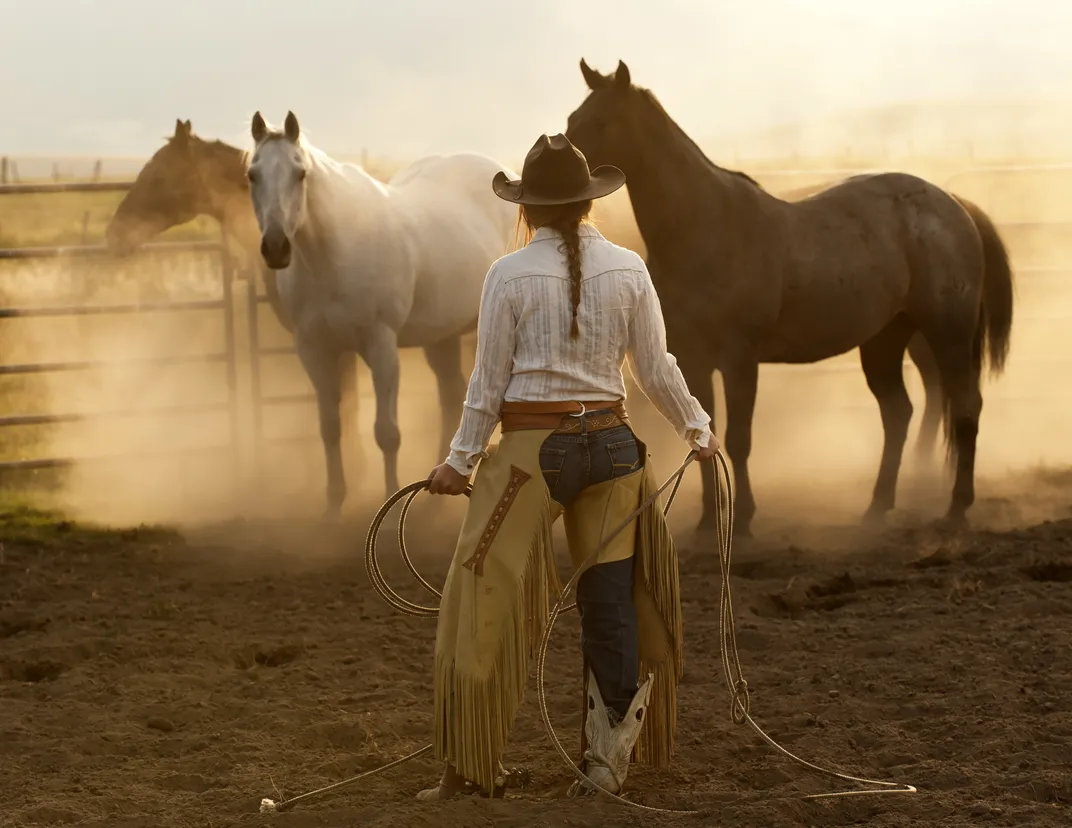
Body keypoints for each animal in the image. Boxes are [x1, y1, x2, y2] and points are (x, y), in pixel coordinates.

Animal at [248, 109, 520, 510]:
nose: (276, 247)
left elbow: (386, 433)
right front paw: (334, 500)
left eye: (300, 174)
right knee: (451, 397)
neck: (333, 254)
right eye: (253, 175)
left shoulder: (381, 346)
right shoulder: (314, 349)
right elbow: (330, 427)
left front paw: (389, 494)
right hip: (441, 337)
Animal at [570, 59, 1011, 536]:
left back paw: (956, 507)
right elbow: (704, 435)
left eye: (602, 120)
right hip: (884, 341)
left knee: (964, 407)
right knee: (899, 413)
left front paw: (744, 517)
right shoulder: (695, 361)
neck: (707, 228)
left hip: (948, 336)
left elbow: (740, 440)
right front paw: (708, 521)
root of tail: (954, 205)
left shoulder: (739, 359)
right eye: (574, 120)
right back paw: (877, 506)